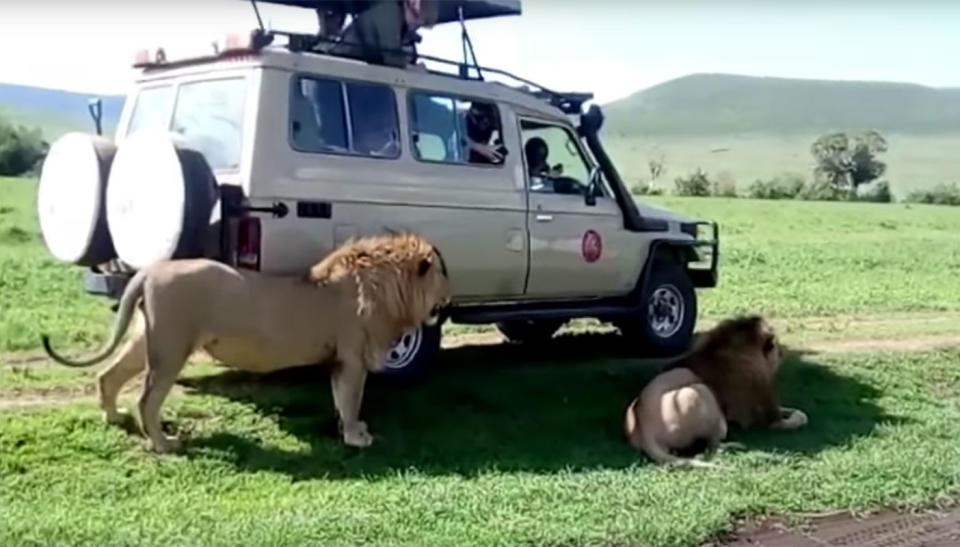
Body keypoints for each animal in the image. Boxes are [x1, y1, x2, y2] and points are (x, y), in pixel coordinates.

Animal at [41, 231, 454, 454]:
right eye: (444, 274)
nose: (450, 300)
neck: (390, 286)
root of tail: (149, 271)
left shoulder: (341, 359)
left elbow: (341, 401)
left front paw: (350, 431)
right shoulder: (352, 357)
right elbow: (351, 399)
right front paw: (356, 437)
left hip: (147, 339)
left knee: (108, 375)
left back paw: (113, 416)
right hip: (172, 347)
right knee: (147, 399)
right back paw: (164, 444)